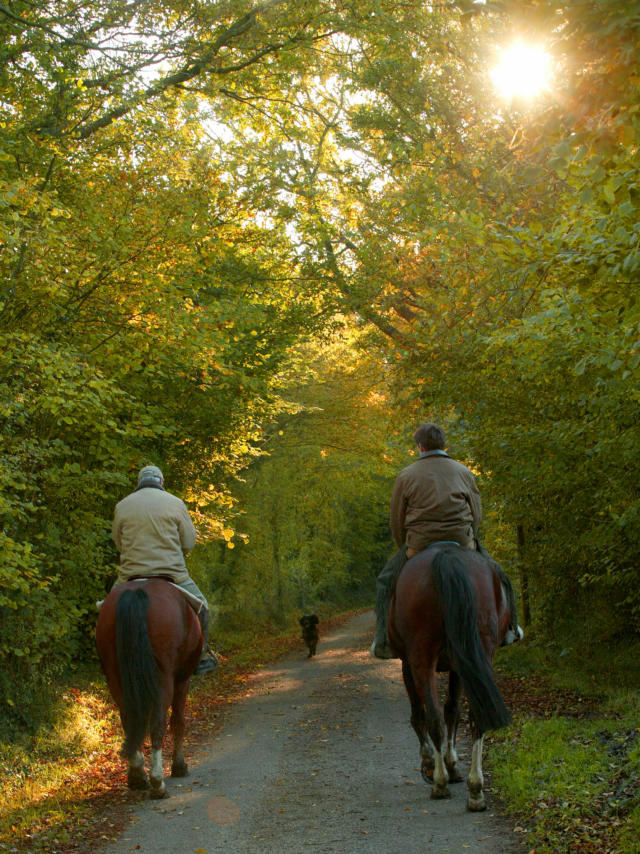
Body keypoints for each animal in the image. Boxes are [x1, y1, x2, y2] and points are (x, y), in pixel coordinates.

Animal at [95, 580, 202, 800]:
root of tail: (136, 592)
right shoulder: (182, 680)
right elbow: (178, 721)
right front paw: (179, 766)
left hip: (115, 677)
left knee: (128, 720)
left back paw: (137, 777)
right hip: (164, 679)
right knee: (158, 723)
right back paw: (157, 782)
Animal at [388, 544, 512, 812]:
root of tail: (446, 556)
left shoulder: (406, 663)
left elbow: (421, 714)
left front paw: (430, 763)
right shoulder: (460, 663)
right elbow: (453, 710)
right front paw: (452, 765)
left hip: (421, 657)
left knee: (432, 717)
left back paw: (439, 781)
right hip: (479, 650)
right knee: (475, 716)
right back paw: (475, 791)